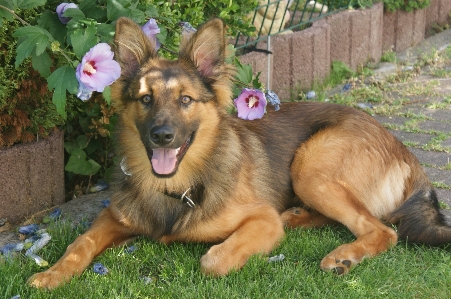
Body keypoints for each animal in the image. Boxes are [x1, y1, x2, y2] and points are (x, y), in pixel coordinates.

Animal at [29, 17, 451, 290]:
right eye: (145, 99)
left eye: (185, 100)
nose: (162, 136)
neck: (176, 187)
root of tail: (401, 148)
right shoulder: (113, 217)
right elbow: (79, 244)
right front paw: (52, 274)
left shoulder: (260, 221)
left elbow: (212, 260)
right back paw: (297, 216)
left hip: (310, 164)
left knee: (380, 228)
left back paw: (343, 254)